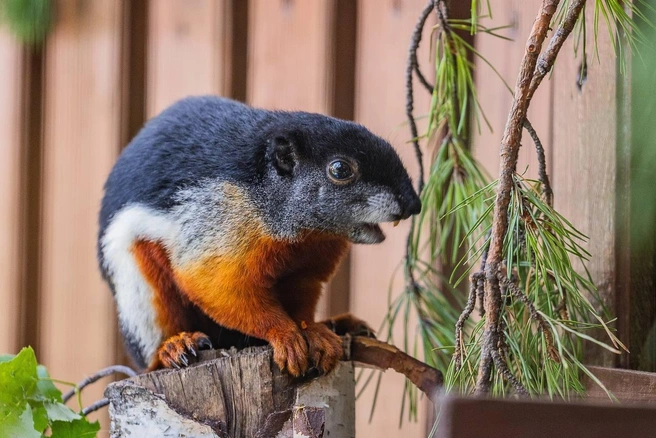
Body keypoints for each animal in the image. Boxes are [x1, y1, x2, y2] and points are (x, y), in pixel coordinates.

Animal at [98, 96, 421, 376]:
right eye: (340, 169)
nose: (414, 204)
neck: (306, 234)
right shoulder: (217, 224)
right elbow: (220, 288)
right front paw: (285, 335)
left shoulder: (307, 266)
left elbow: (301, 297)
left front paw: (313, 331)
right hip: (139, 292)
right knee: (152, 347)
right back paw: (173, 346)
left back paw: (339, 324)